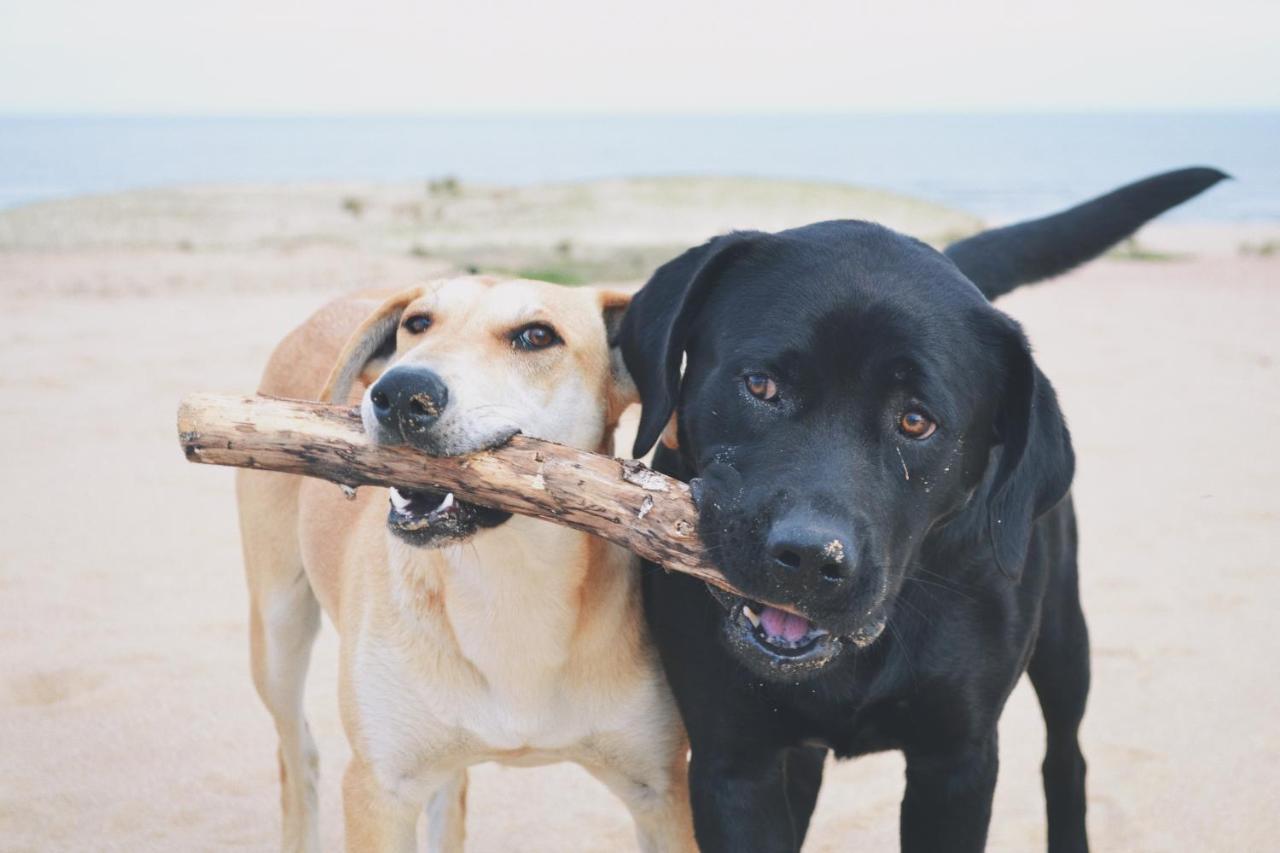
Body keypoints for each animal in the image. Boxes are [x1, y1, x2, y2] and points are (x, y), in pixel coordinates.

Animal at [619, 167, 1228, 850]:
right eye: (761, 385)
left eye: (916, 421)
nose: (810, 558)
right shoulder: (731, 763)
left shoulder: (957, 761)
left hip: (1066, 639)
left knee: (1066, 755)